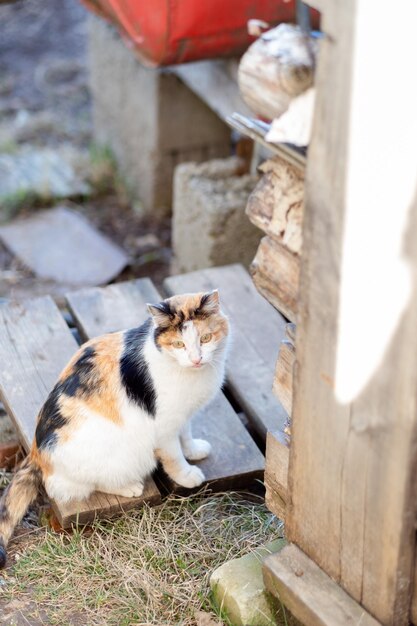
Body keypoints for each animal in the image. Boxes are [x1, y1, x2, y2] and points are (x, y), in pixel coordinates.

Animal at [0, 288, 229, 564]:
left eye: (206, 338)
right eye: (179, 345)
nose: (196, 359)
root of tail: (35, 452)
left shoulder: (181, 415)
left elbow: (186, 433)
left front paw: (194, 450)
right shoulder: (164, 425)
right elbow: (173, 456)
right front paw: (186, 475)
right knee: (91, 483)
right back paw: (130, 487)